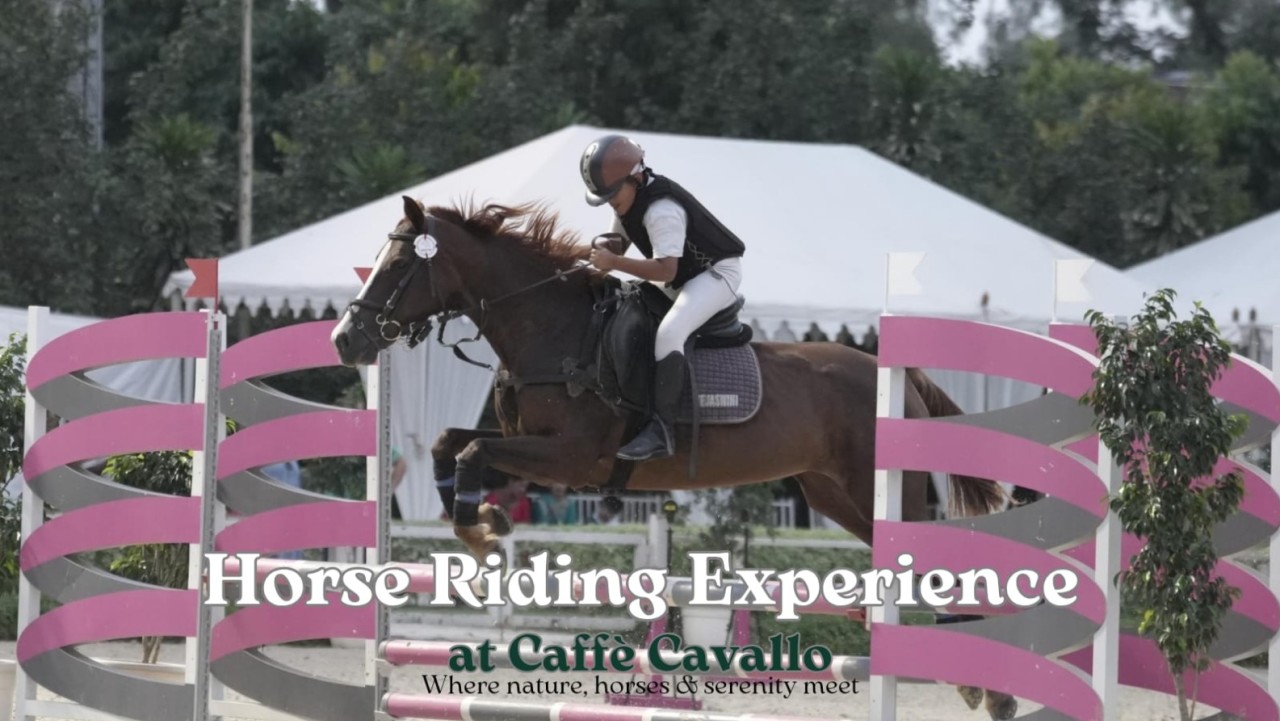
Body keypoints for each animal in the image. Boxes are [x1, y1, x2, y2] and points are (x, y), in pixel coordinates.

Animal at [331, 196, 1016, 720]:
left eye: (400, 265)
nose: (345, 340)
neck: (554, 330)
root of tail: (894, 372)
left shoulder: (570, 458)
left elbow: (472, 450)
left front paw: (481, 532)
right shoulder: (532, 450)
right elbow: (449, 446)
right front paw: (481, 525)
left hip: (881, 486)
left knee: (944, 566)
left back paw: (988, 687)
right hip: (834, 493)